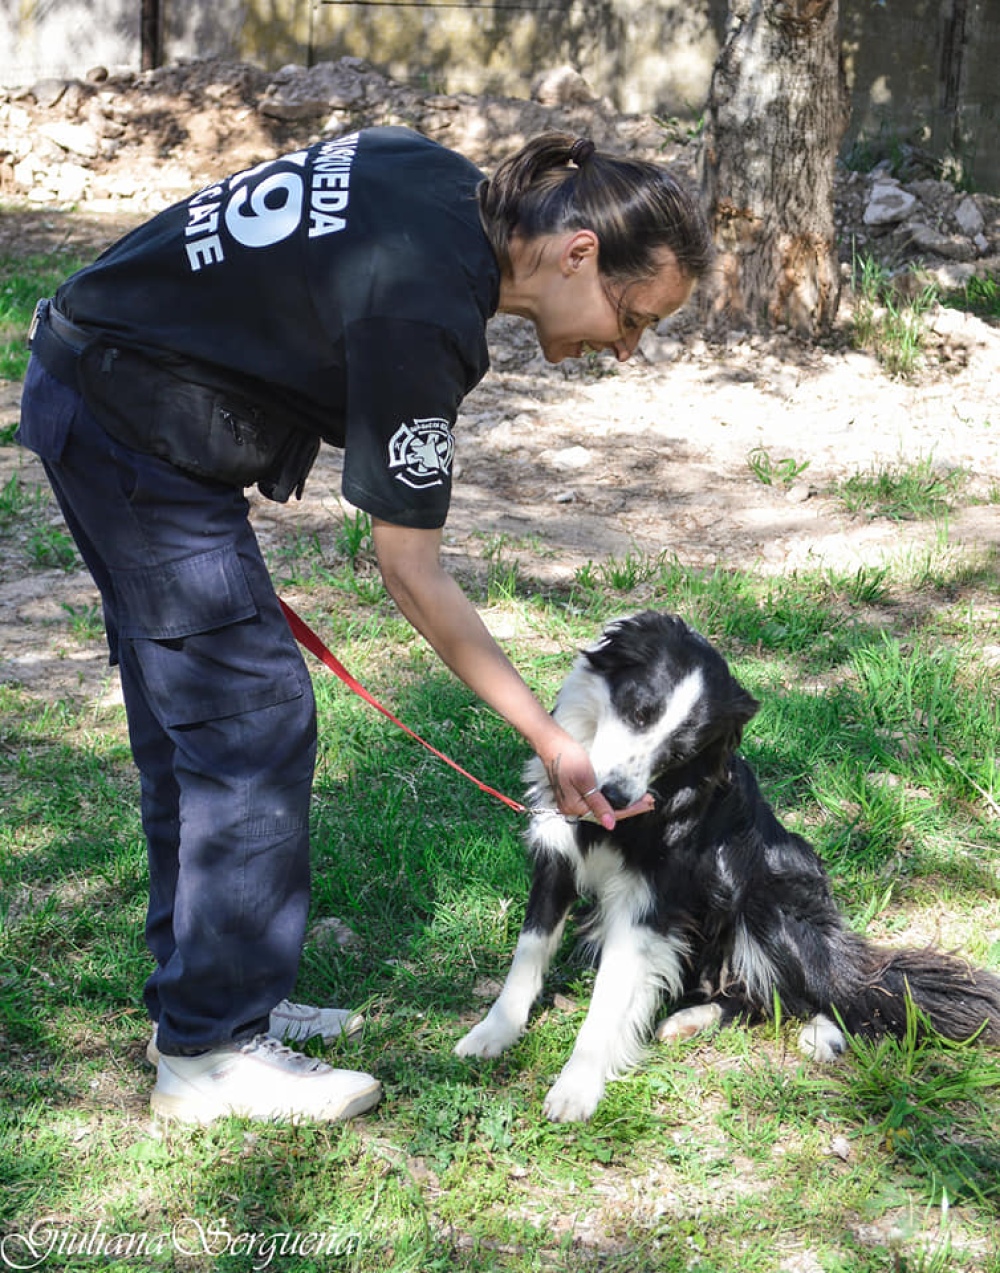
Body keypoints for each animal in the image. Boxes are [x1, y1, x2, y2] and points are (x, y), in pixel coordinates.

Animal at [455, 611, 997, 1120]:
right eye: (639, 712)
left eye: (681, 751)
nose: (615, 796)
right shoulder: (556, 858)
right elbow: (528, 953)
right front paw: (493, 1032)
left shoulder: (649, 903)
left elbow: (609, 996)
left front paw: (578, 1086)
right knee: (756, 997)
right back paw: (686, 1019)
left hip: (767, 908)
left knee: (838, 992)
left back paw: (821, 1034)